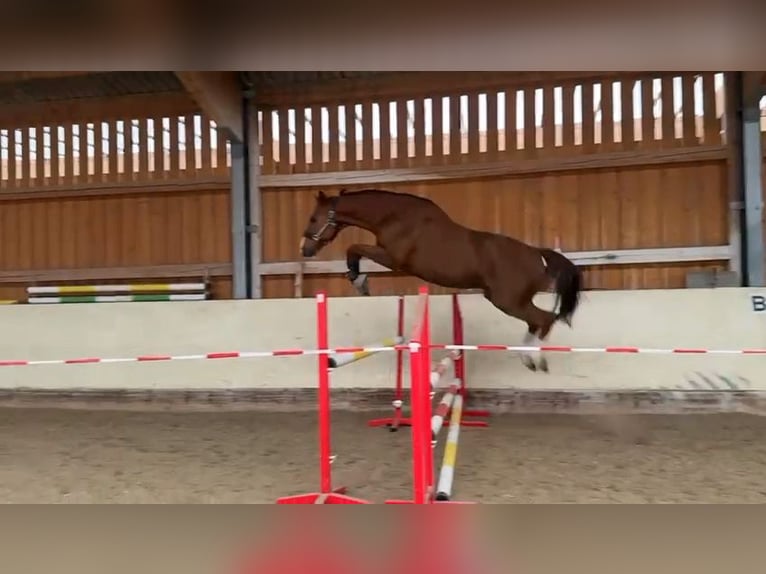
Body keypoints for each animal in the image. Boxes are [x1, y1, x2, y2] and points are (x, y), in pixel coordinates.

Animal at [299, 188, 583, 372]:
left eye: (313, 218)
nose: (305, 250)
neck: (395, 216)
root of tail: (537, 255)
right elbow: (355, 250)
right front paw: (359, 280)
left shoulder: (392, 259)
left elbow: (354, 249)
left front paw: (359, 281)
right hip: (507, 299)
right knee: (539, 321)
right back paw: (528, 357)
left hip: (507, 301)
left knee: (544, 319)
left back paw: (534, 359)